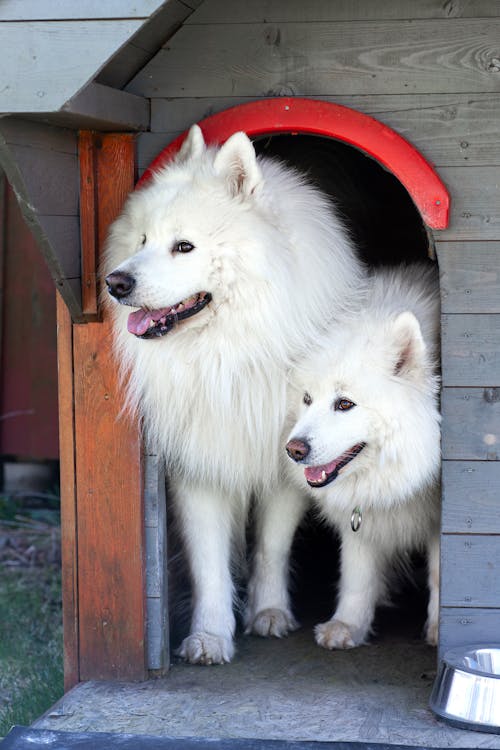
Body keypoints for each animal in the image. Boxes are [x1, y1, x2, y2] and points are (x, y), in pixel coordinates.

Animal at [102, 126, 364, 668]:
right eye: (142, 240)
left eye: (184, 246)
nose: (116, 283)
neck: (227, 353)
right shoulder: (199, 462)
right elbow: (209, 564)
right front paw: (209, 636)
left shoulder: (286, 462)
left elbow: (271, 545)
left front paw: (269, 612)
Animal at [286, 266, 442, 652]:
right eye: (307, 399)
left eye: (345, 404)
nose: (293, 449)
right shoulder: (359, 518)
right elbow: (357, 573)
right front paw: (347, 626)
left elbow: (438, 572)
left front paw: (438, 629)